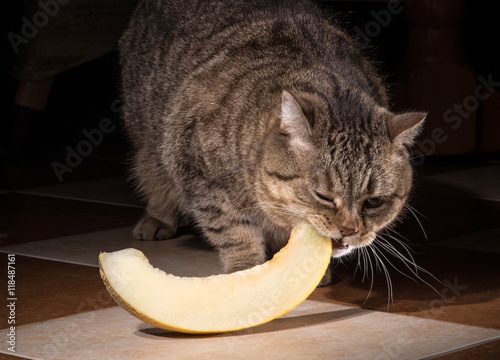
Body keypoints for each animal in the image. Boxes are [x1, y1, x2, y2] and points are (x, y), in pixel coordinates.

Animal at [119, 0, 424, 284]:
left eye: (374, 202)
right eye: (323, 196)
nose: (348, 230)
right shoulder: (200, 175)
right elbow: (233, 232)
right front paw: (247, 269)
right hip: (149, 139)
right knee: (154, 176)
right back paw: (159, 217)